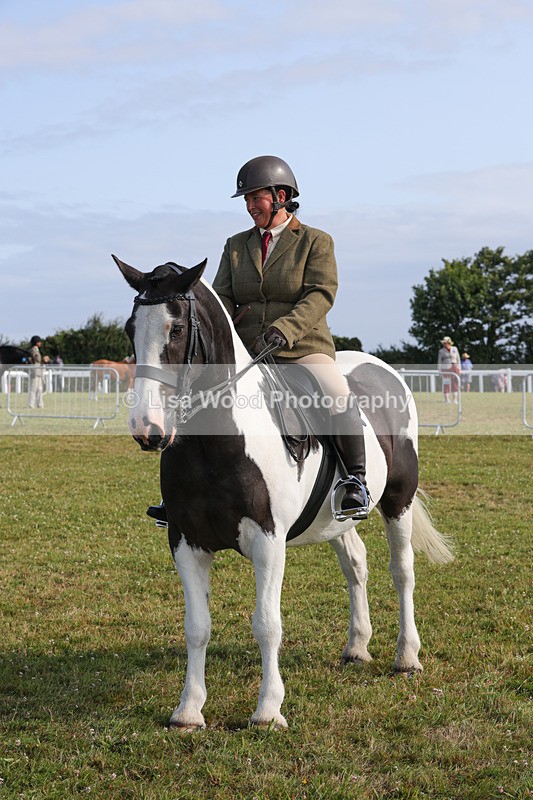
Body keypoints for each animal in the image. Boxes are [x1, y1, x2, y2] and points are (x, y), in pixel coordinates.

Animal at [114, 254, 454, 731]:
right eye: (131, 327)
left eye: (176, 329)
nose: (148, 430)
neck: (217, 443)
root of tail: (382, 369)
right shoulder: (185, 541)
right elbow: (196, 627)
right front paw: (189, 710)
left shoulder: (268, 541)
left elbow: (266, 624)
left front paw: (268, 710)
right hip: (335, 517)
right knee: (356, 564)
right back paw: (357, 647)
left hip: (398, 499)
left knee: (402, 571)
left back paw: (407, 657)